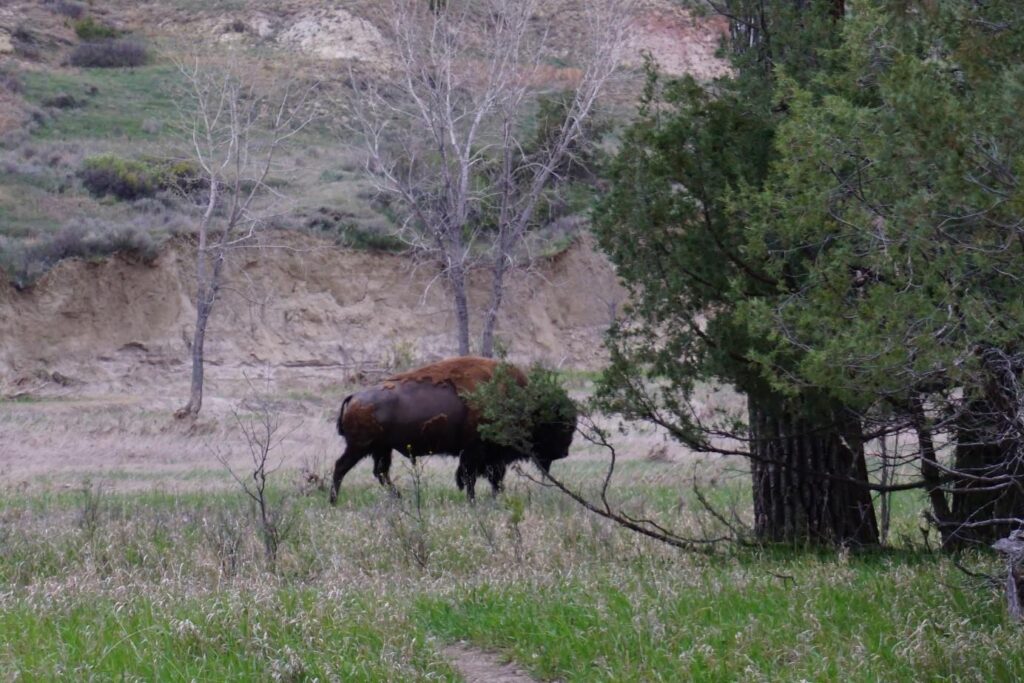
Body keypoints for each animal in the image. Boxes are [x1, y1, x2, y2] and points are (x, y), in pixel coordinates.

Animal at [329, 356, 577, 505]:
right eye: (560, 424)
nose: (564, 452)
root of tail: (355, 396)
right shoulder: (475, 452)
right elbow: (469, 478)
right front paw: (473, 502)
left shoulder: (490, 457)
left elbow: (493, 478)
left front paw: (495, 499)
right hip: (359, 447)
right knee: (341, 467)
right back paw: (334, 501)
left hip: (381, 449)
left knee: (380, 472)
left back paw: (399, 498)